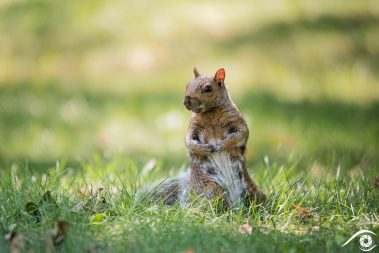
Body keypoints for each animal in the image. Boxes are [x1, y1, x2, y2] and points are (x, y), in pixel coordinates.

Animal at [144, 66, 266, 208]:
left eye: (208, 88)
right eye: (187, 85)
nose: (186, 101)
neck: (210, 112)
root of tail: (236, 204)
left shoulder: (237, 122)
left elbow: (240, 134)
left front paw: (222, 145)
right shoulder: (193, 127)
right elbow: (190, 141)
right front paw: (204, 148)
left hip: (253, 190)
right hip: (210, 188)